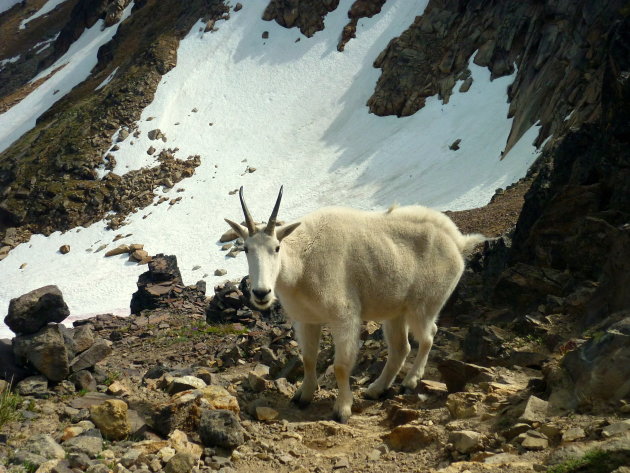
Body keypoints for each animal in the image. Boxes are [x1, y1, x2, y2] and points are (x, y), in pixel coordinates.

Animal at [227, 186, 488, 422]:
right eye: (246, 248)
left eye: (277, 248)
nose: (261, 293)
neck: (302, 263)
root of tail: (458, 243)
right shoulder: (306, 319)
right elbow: (308, 358)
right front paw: (303, 397)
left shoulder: (344, 317)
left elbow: (341, 366)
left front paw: (342, 410)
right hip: (396, 312)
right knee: (401, 347)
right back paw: (376, 389)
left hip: (424, 305)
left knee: (428, 336)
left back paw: (409, 382)